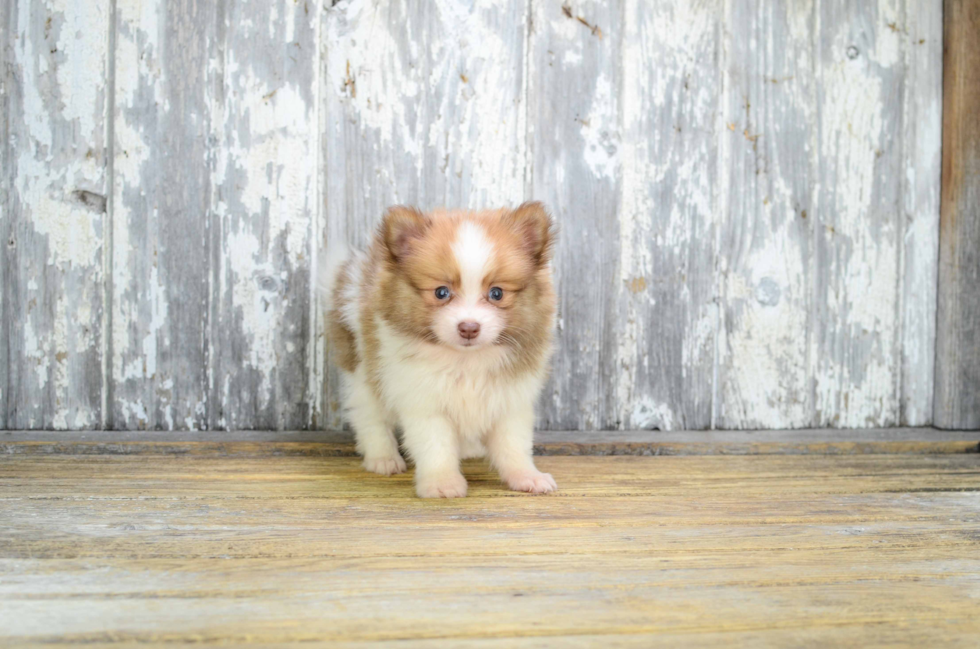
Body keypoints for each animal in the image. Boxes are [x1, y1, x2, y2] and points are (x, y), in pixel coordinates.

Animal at [322, 202, 560, 496]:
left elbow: (513, 445)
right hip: (362, 367)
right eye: (441, 292)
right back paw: (383, 457)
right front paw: (441, 482)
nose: (469, 327)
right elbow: (435, 445)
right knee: (370, 415)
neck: (466, 360)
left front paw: (527, 476)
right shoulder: (424, 399)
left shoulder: (509, 399)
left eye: (497, 293)